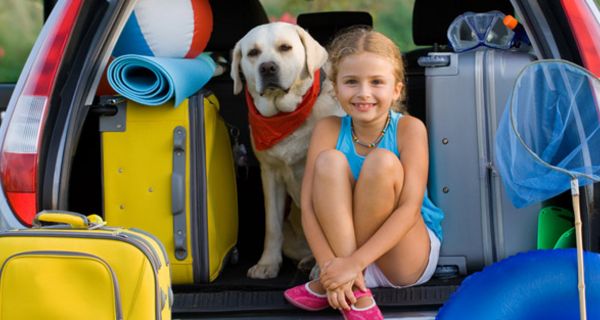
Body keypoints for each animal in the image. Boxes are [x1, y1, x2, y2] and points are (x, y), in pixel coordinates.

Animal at [230, 21, 342, 278]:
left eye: (285, 48)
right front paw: (267, 264)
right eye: (253, 53)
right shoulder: (270, 174)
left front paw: (323, 270)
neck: (285, 116)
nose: (267, 67)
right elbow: (272, 226)